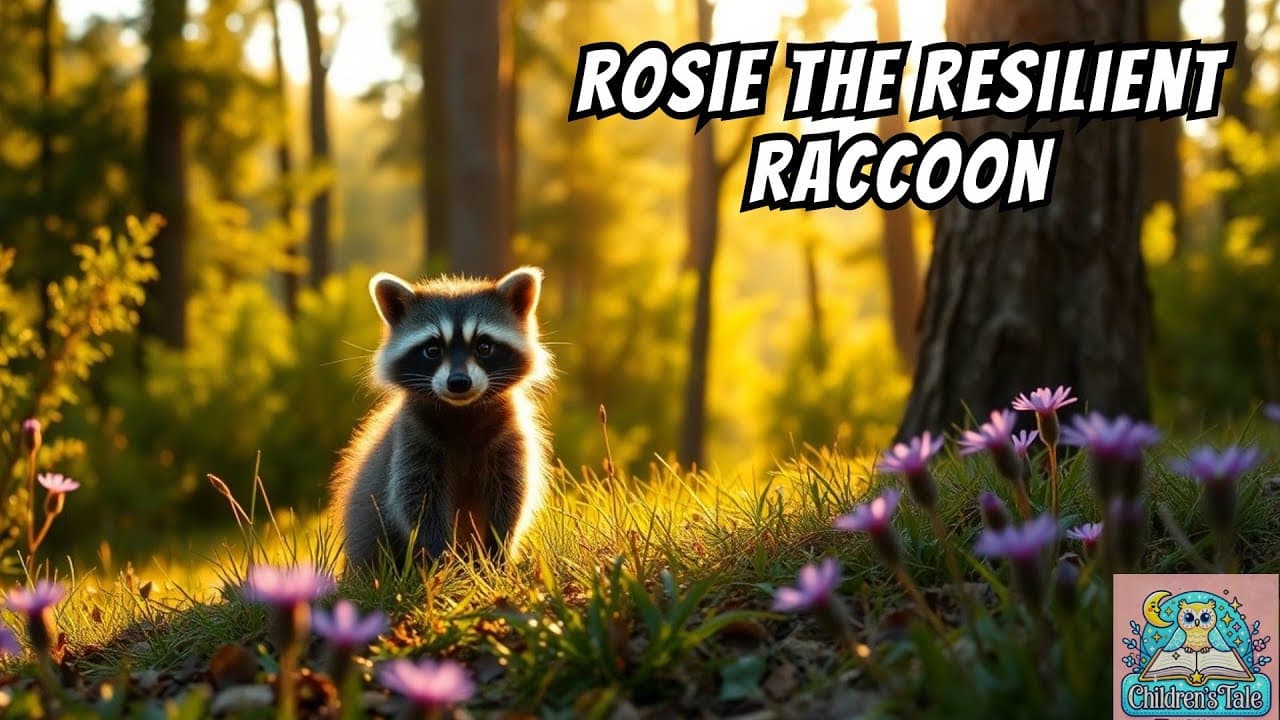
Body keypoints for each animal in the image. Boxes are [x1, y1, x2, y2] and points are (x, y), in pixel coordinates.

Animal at [330, 267, 552, 568]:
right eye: (432, 349)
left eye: (484, 346)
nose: (458, 382)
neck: (462, 410)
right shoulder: (413, 439)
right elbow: (416, 500)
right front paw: (442, 559)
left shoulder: (510, 437)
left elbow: (511, 496)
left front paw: (497, 554)